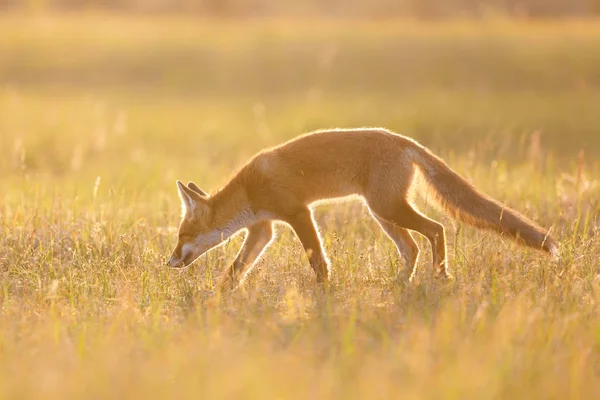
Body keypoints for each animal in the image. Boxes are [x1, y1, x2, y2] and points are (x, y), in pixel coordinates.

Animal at [168, 128, 556, 288]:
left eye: (183, 235)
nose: (169, 262)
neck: (250, 190)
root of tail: (405, 141)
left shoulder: (298, 213)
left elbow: (317, 260)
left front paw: (325, 293)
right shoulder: (263, 228)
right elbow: (237, 268)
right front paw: (219, 296)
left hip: (388, 208)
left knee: (436, 229)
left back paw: (440, 275)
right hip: (382, 213)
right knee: (412, 247)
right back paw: (403, 282)